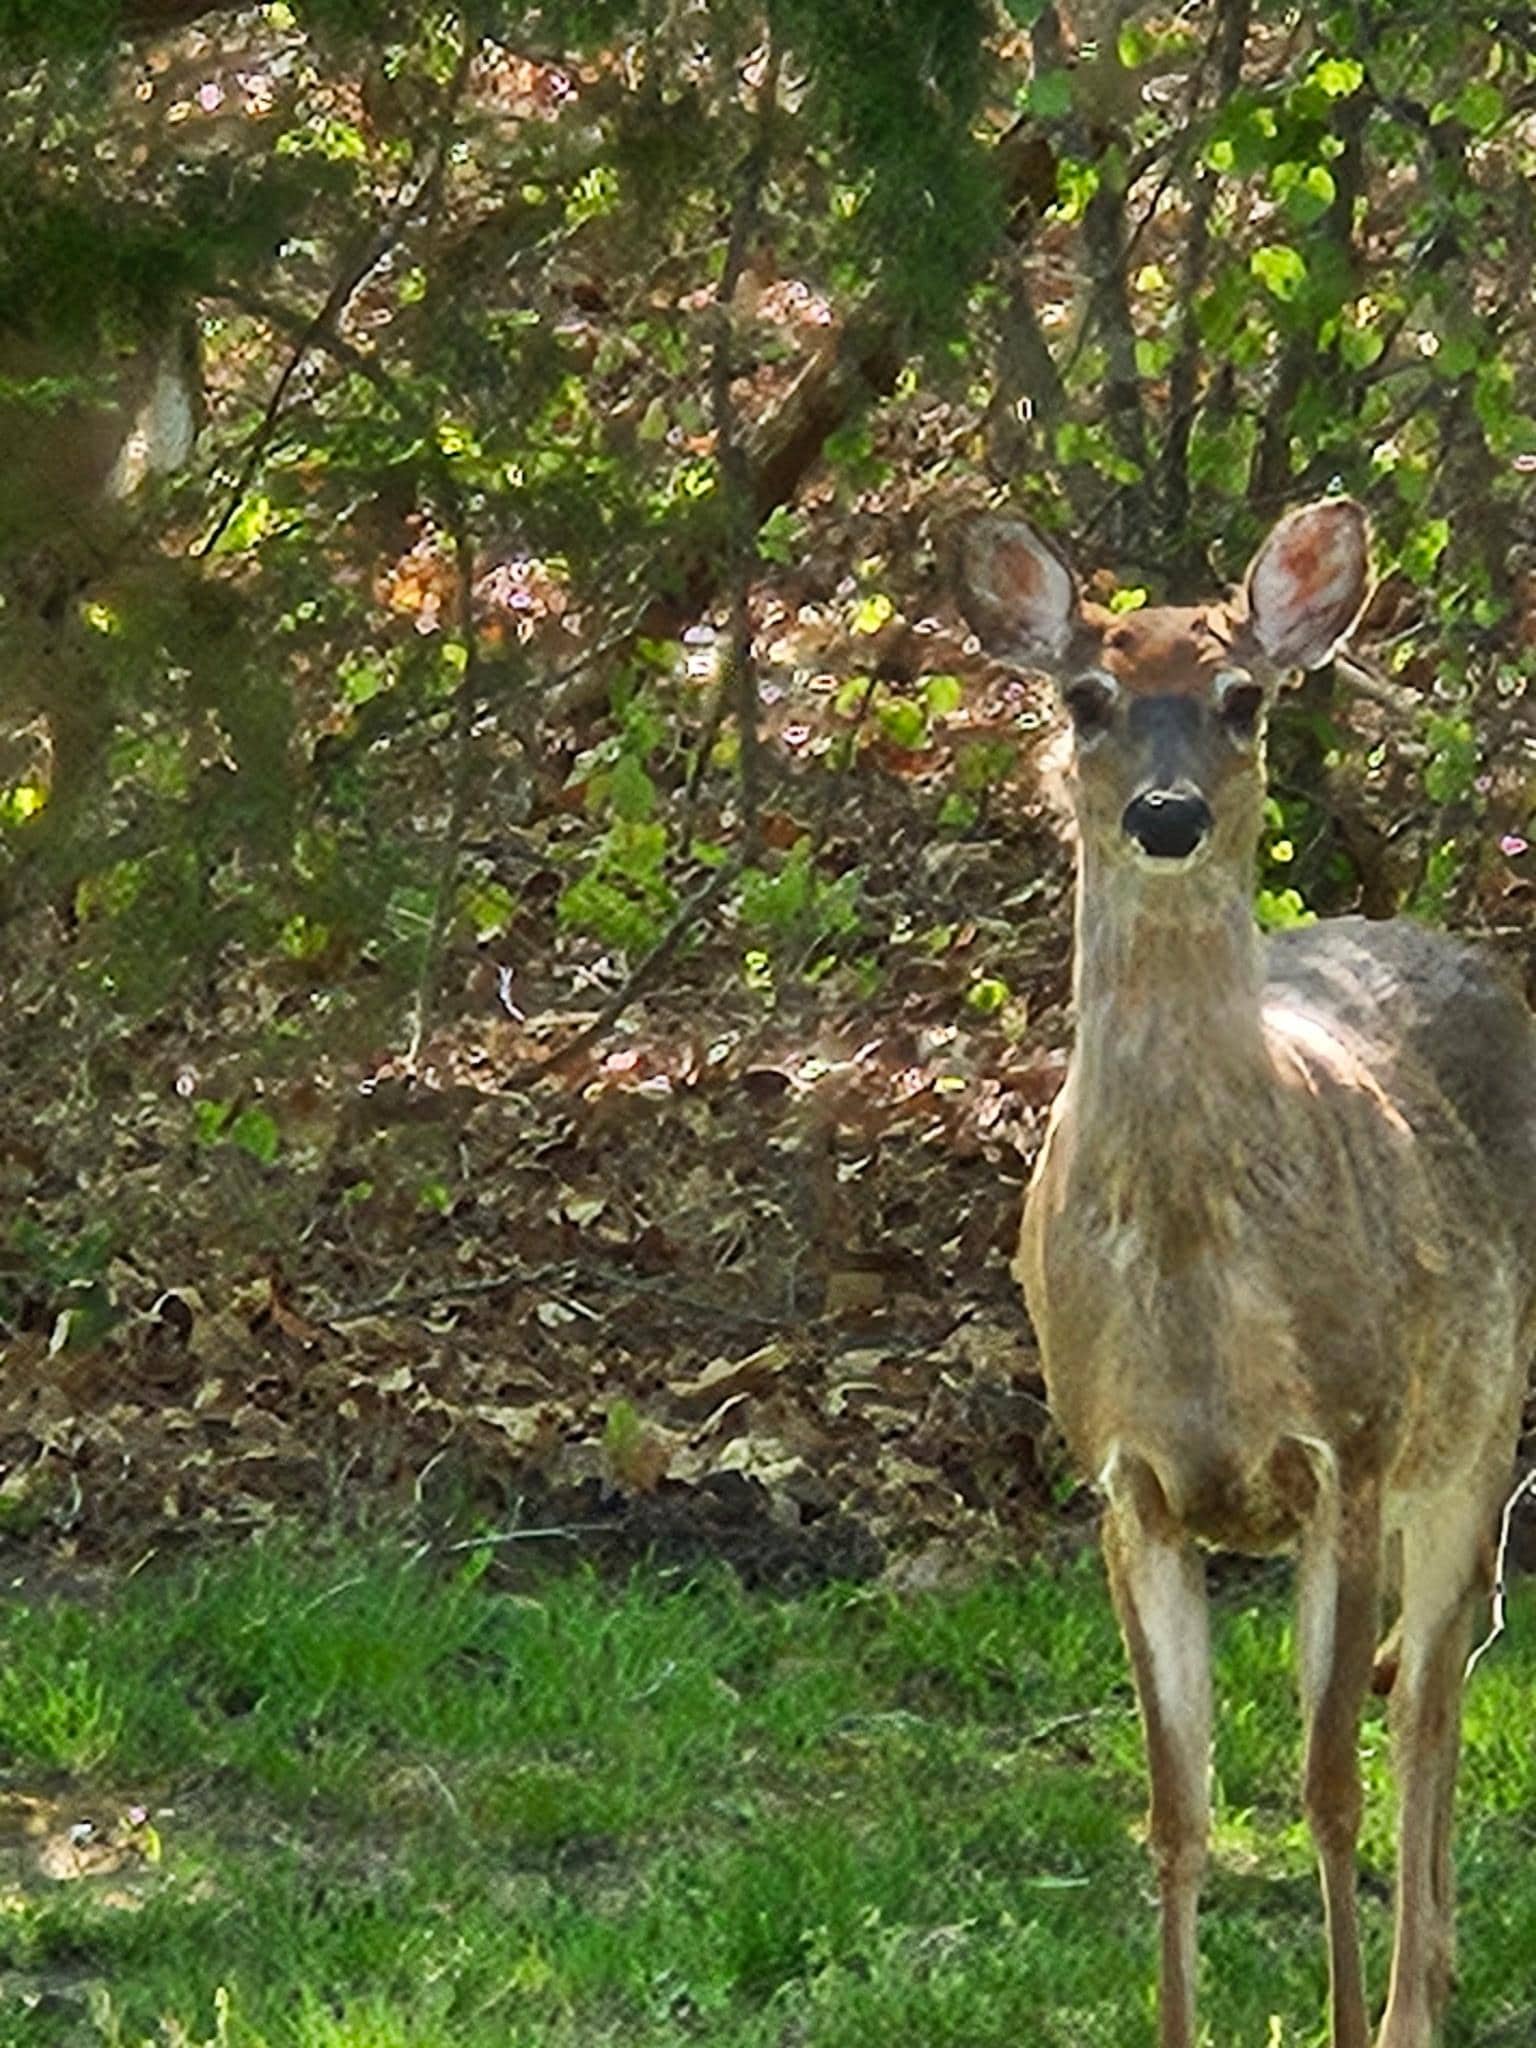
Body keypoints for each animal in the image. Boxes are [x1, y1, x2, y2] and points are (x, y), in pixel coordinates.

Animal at [957, 498, 1536, 2048]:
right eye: (1086, 696)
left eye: (1242, 697)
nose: (1166, 817)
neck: (1195, 1263)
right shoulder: (1125, 1476)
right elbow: (1177, 1809)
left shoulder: (1348, 1442)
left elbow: (1328, 1788)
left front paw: (1348, 2019)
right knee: (1430, 1667)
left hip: (1477, 1424)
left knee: (1436, 1682)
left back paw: (1411, 2002)